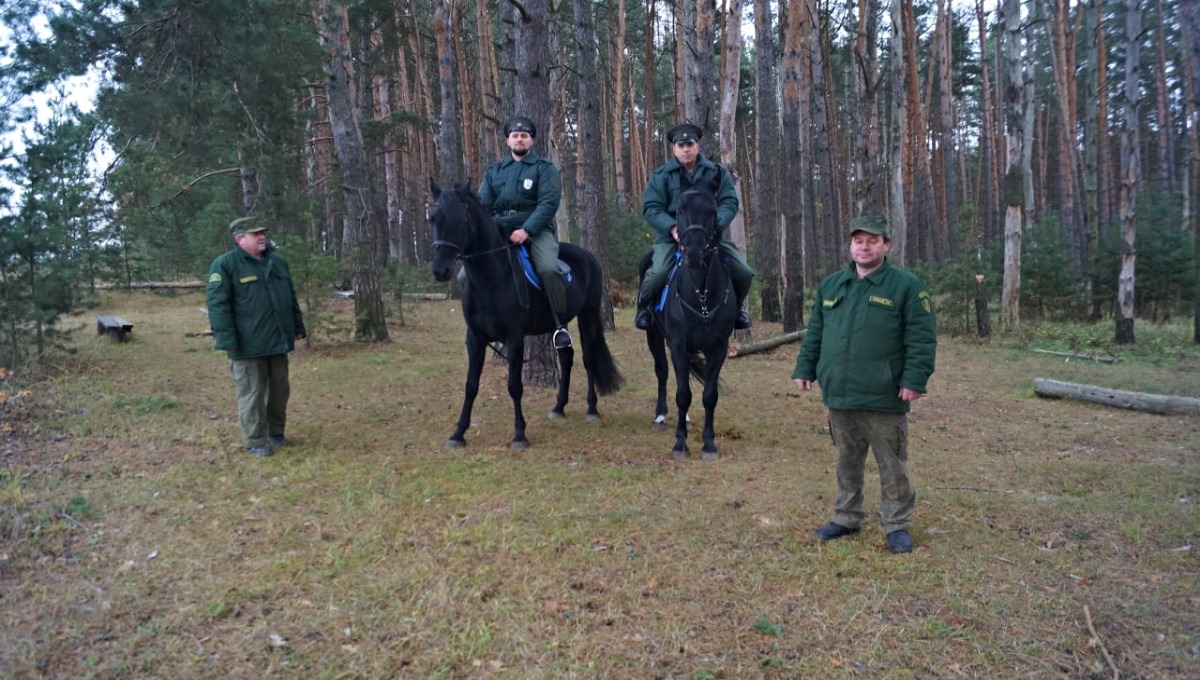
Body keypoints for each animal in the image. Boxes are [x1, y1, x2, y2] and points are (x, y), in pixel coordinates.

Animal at [429, 179, 624, 453]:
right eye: (433, 219)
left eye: (459, 220)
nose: (440, 271)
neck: (491, 279)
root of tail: (588, 257)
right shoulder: (475, 338)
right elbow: (470, 386)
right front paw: (458, 433)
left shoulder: (515, 338)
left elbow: (514, 385)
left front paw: (520, 434)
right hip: (560, 321)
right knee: (567, 357)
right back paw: (558, 407)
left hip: (587, 316)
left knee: (588, 360)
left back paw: (592, 409)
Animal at [638, 173, 739, 462]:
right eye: (680, 210)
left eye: (713, 210)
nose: (693, 252)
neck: (701, 293)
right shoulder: (679, 344)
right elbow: (683, 394)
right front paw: (680, 443)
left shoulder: (719, 347)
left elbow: (709, 395)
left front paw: (709, 444)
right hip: (655, 336)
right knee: (662, 371)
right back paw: (661, 416)